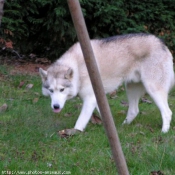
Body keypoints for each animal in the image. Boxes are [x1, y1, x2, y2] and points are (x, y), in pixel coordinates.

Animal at [39, 33, 174, 133]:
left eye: (62, 90)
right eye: (51, 90)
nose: (55, 107)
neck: (77, 66)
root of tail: (161, 43)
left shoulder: (90, 99)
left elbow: (80, 122)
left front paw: (74, 133)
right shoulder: (97, 99)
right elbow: (105, 116)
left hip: (153, 89)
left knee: (167, 112)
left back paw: (164, 131)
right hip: (131, 88)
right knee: (134, 110)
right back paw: (123, 126)